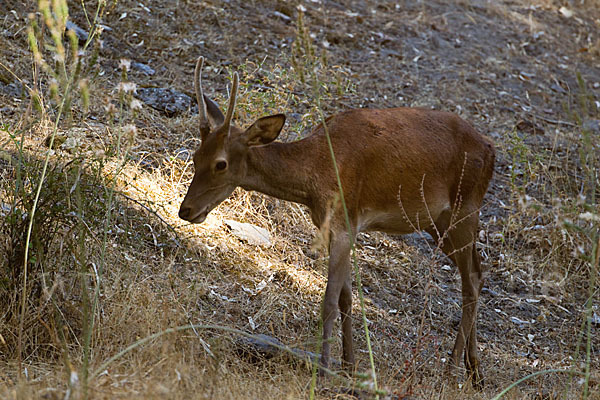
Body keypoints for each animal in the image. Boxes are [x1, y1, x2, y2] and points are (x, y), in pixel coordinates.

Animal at [179, 56, 496, 388]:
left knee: (470, 283)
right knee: (478, 273)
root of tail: (491, 150)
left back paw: (452, 369)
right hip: (438, 223)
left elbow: (330, 300)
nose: (185, 210)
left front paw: (323, 368)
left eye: (221, 164)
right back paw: (475, 371)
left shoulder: (345, 223)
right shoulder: (334, 227)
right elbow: (346, 298)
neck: (316, 174)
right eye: (195, 156)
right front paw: (350, 364)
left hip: (465, 209)